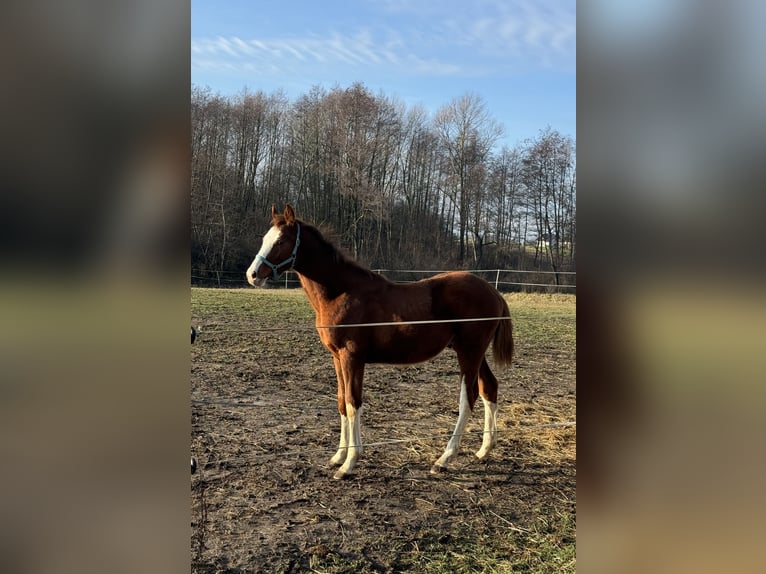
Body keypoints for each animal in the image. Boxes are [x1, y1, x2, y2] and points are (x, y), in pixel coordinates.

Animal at [248, 207, 516, 482]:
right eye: (265, 238)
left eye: (281, 241)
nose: (252, 275)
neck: (342, 293)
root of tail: (493, 292)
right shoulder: (337, 357)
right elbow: (341, 401)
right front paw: (337, 457)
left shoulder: (352, 357)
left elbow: (353, 402)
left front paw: (349, 463)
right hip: (474, 352)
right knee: (489, 388)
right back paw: (484, 450)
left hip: (469, 352)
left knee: (468, 397)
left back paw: (443, 459)